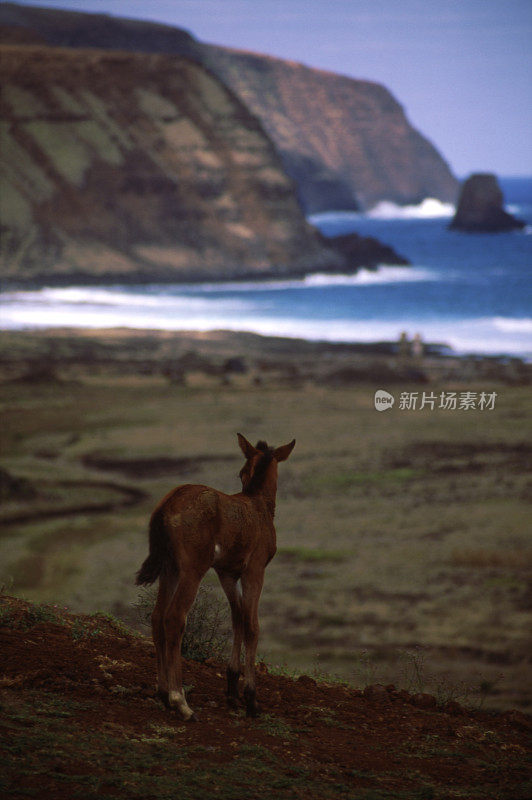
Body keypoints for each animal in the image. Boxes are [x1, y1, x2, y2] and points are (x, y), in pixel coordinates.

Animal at [135, 434, 296, 720]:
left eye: (242, 471)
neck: (259, 504)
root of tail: (166, 505)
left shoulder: (227, 573)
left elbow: (237, 617)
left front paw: (232, 689)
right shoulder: (255, 570)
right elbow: (252, 625)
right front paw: (251, 699)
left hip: (170, 568)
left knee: (157, 615)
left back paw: (163, 692)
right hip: (193, 569)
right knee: (174, 617)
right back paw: (180, 700)